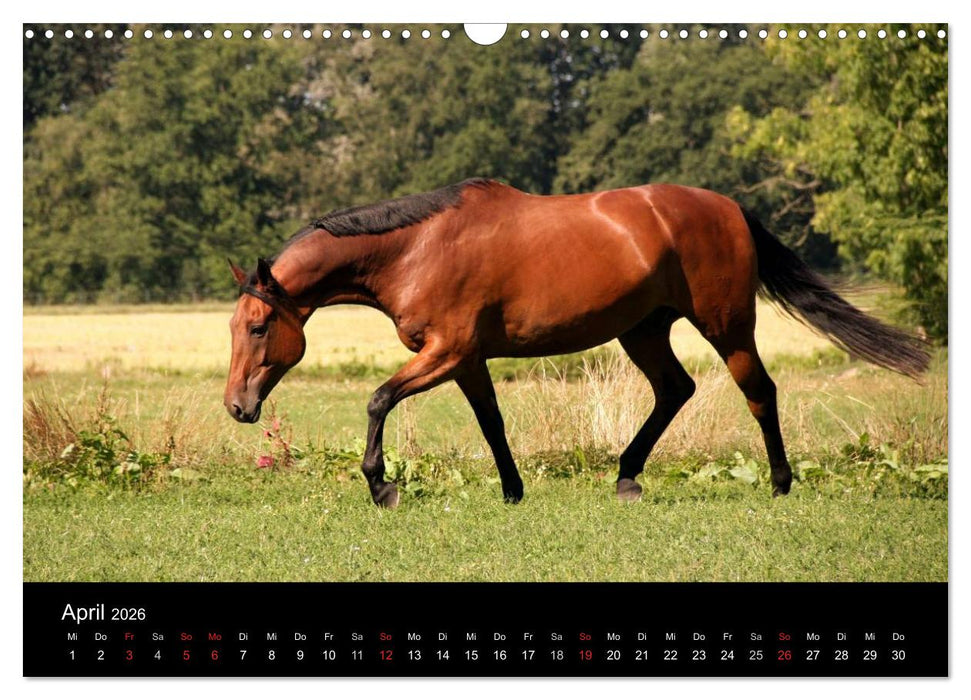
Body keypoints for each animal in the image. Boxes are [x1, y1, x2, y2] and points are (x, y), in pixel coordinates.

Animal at [224, 178, 929, 508]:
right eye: (234, 328)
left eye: (259, 327)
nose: (237, 406)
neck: (417, 247)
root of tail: (729, 207)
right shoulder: (466, 359)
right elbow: (492, 424)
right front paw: (512, 491)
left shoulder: (445, 352)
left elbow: (376, 400)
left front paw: (382, 486)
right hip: (643, 330)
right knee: (675, 390)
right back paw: (627, 476)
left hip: (727, 326)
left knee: (758, 392)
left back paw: (780, 483)